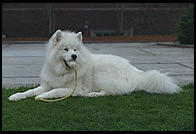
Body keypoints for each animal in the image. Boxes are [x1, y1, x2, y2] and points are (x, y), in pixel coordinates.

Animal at [8, 29, 181, 100]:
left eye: (75, 49)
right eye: (66, 49)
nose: (74, 56)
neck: (62, 72)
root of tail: (138, 75)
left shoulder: (73, 88)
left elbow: (54, 91)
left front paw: (42, 97)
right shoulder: (46, 84)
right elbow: (30, 91)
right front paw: (16, 96)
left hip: (102, 74)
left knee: (112, 92)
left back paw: (92, 94)